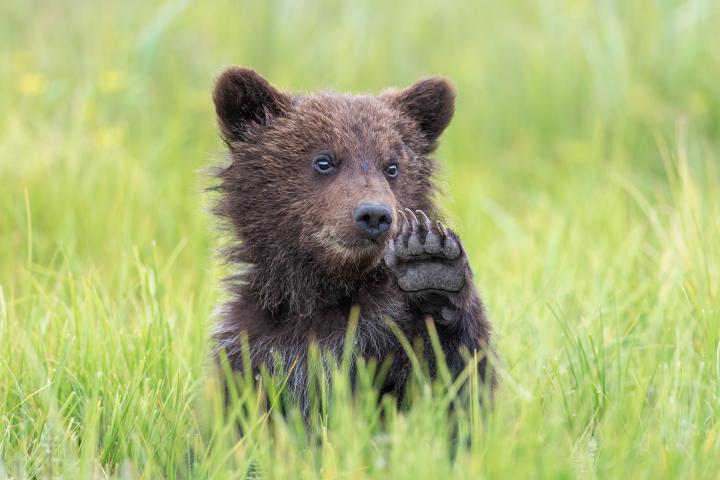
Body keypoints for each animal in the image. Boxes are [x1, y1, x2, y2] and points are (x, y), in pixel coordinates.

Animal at [211, 67, 494, 413]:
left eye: (392, 166)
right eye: (324, 161)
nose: (374, 215)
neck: (324, 290)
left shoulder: (385, 334)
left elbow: (456, 386)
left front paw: (432, 266)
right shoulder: (251, 345)